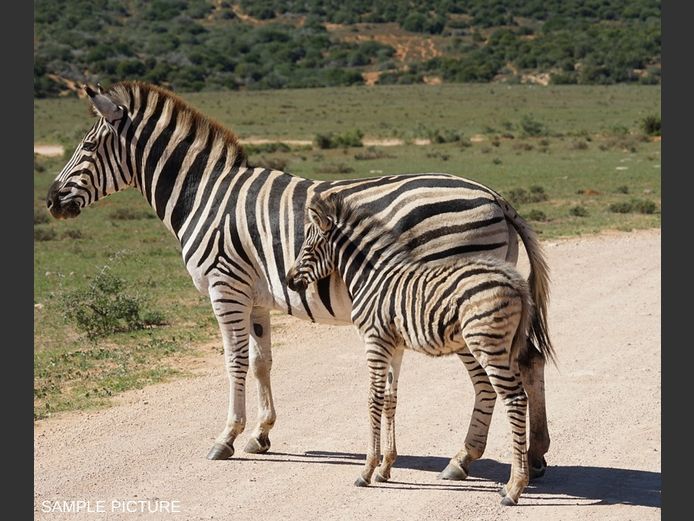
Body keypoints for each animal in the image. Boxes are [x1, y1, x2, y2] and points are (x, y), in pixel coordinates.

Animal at [285, 192, 541, 505]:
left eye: (308, 248)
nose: (289, 280)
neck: (371, 278)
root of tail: (513, 280)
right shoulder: (394, 346)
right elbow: (389, 400)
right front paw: (385, 468)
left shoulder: (374, 341)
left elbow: (372, 400)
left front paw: (367, 470)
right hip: (503, 344)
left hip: (487, 344)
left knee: (514, 399)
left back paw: (514, 487)